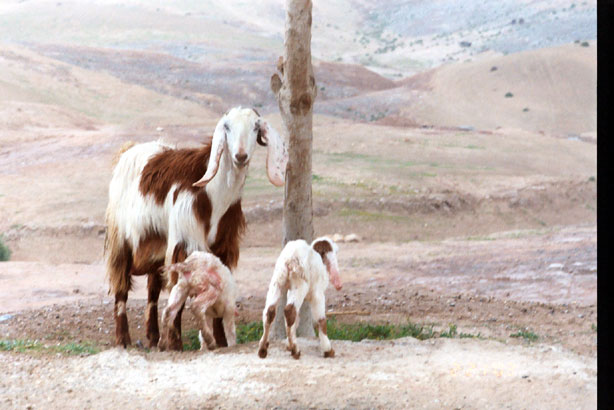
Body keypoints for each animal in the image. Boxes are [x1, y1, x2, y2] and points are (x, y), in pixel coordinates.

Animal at [106, 106, 288, 350]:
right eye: (227, 127)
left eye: (256, 127)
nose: (240, 156)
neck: (212, 196)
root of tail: (128, 150)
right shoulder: (183, 244)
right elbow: (179, 294)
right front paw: (175, 343)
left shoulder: (223, 246)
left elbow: (221, 287)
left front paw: (221, 342)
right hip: (121, 239)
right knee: (121, 288)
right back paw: (123, 340)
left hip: (157, 245)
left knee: (153, 290)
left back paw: (153, 338)